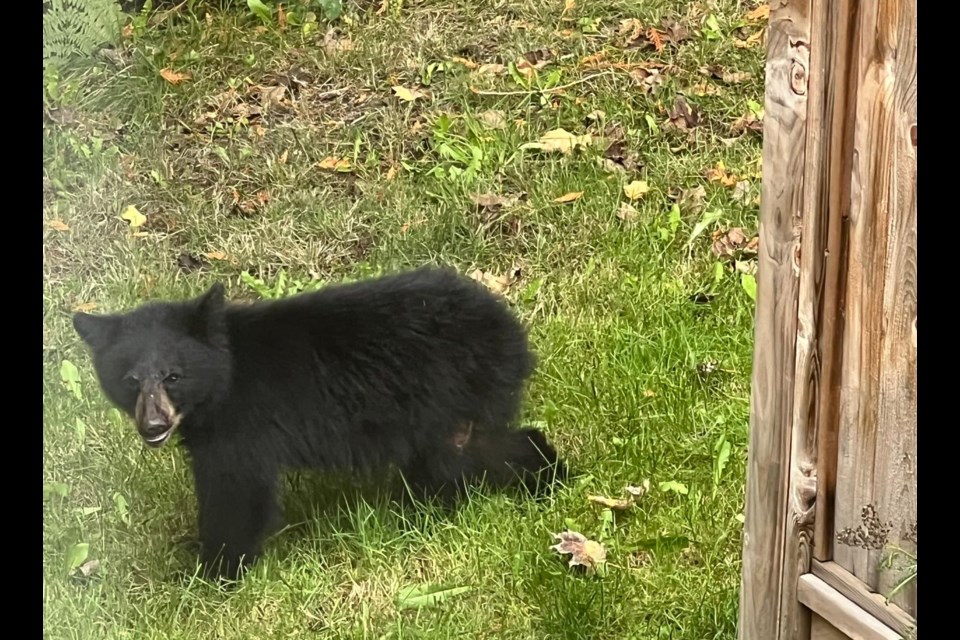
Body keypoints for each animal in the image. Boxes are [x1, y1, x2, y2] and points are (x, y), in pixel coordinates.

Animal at [77, 264, 568, 580]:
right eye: (130, 380)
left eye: (173, 376)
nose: (153, 425)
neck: (222, 381)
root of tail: (511, 331)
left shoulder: (243, 427)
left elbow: (238, 495)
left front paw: (207, 573)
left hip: (446, 397)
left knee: (466, 456)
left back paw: (537, 481)